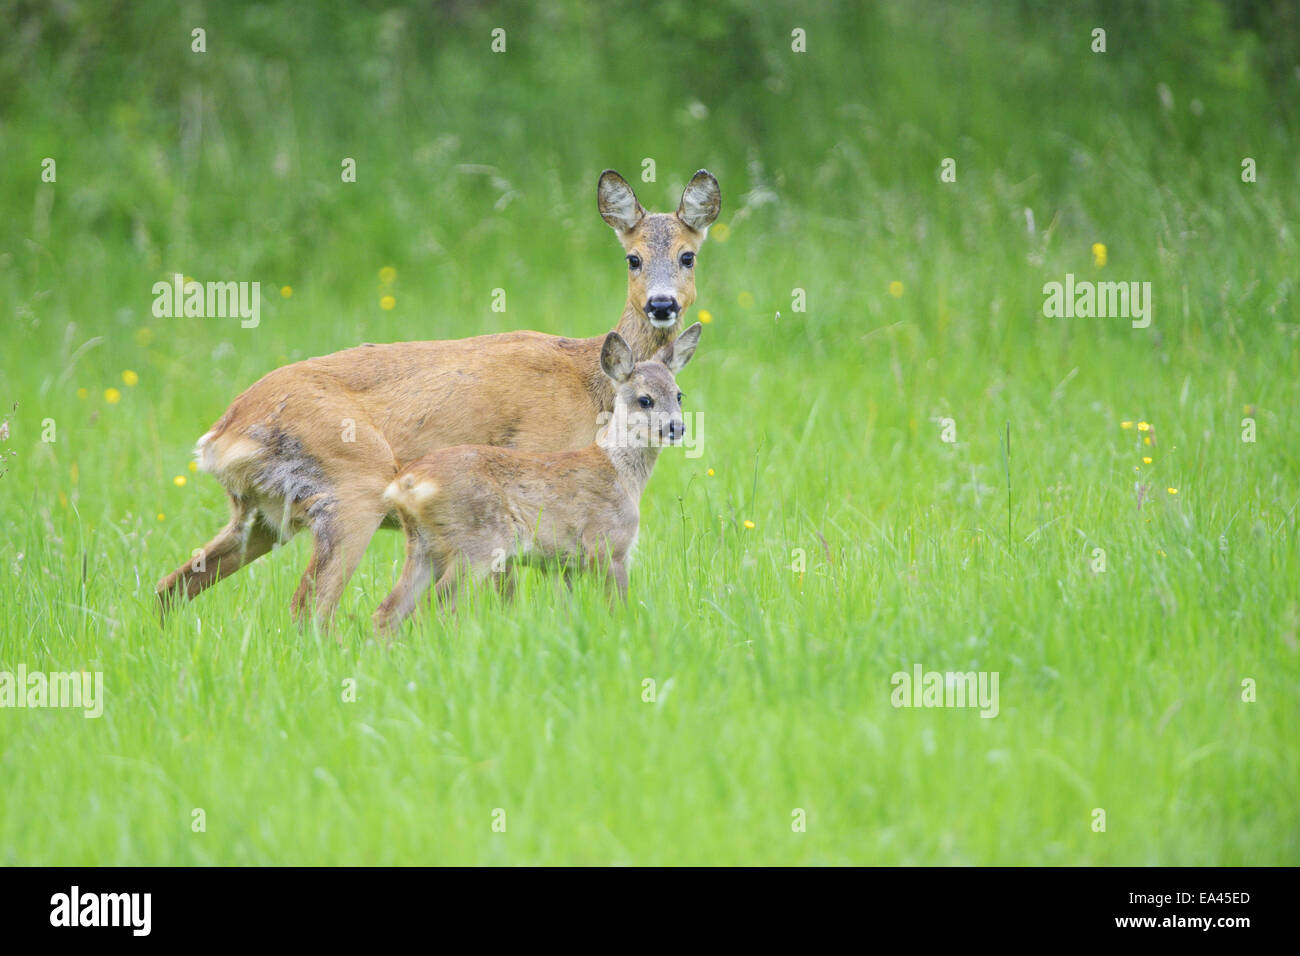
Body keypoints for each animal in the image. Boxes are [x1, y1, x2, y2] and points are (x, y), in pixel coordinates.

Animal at [157, 167, 722, 624]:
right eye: (633, 258)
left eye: (688, 255)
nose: (662, 304)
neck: (590, 385)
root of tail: (222, 434)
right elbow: (510, 591)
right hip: (350, 486)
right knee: (310, 607)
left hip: (258, 513)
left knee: (174, 585)